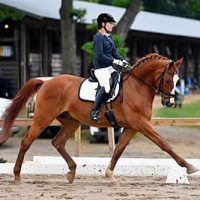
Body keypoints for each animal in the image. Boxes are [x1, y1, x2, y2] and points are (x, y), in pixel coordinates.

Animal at [0, 53, 198, 184]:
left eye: (178, 80)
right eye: (168, 80)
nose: (168, 102)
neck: (137, 86)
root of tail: (46, 81)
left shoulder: (132, 126)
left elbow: (118, 149)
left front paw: (109, 174)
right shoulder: (141, 123)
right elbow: (164, 144)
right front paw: (189, 166)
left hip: (71, 121)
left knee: (58, 142)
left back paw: (72, 172)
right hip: (43, 118)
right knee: (26, 141)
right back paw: (17, 176)